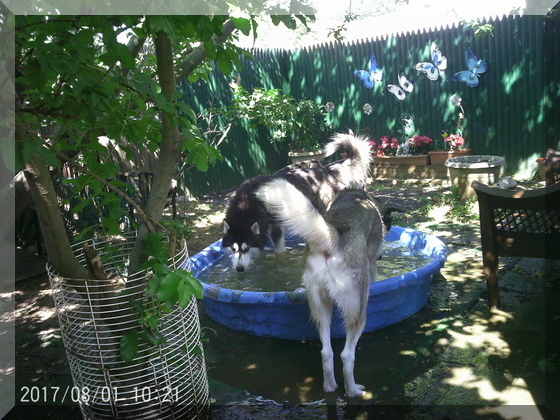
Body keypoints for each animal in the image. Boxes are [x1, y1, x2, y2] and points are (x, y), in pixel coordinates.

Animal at [258, 180, 402, 398]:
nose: (381, 256)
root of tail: (332, 237)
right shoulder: (372, 262)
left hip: (319, 308)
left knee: (326, 352)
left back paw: (329, 386)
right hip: (358, 312)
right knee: (346, 355)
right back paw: (353, 390)